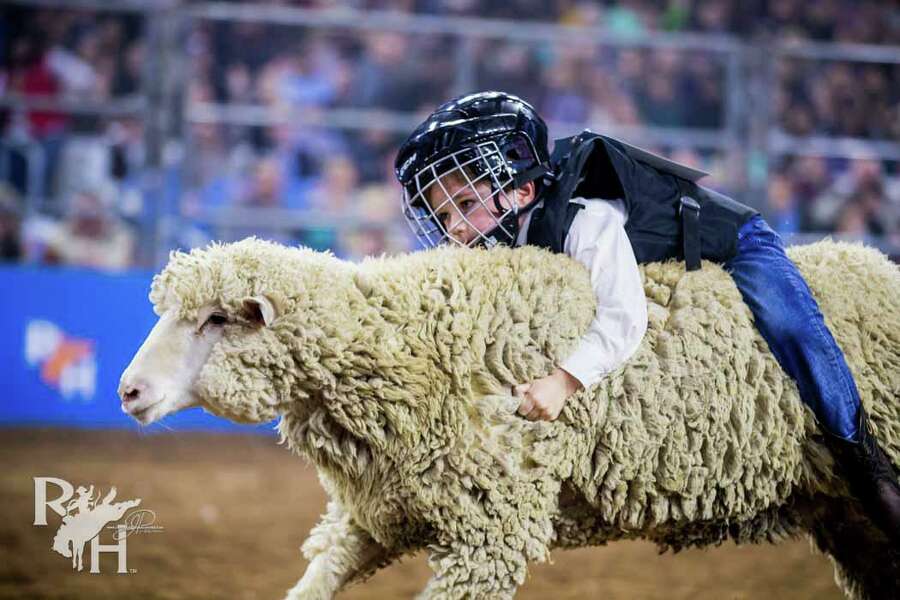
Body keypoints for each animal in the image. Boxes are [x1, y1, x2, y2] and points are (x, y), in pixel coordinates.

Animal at [119, 239, 900, 600]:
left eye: (217, 319)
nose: (127, 391)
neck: (410, 337)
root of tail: (870, 258)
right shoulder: (378, 515)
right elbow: (314, 582)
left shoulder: (489, 533)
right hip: (845, 517)